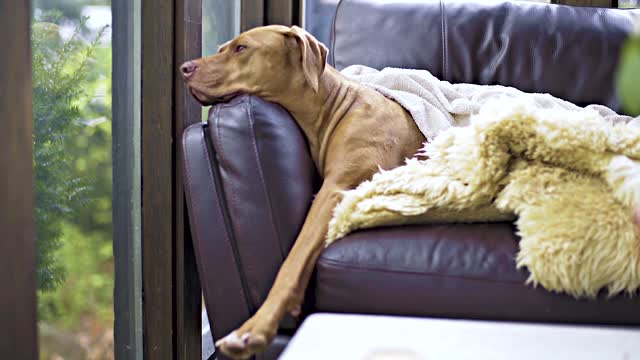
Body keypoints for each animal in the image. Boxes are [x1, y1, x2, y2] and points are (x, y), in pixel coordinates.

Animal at [180, 24, 424, 358]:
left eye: (242, 48)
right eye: (221, 49)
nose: (184, 68)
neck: (334, 104)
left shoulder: (336, 190)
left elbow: (293, 260)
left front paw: (253, 329)